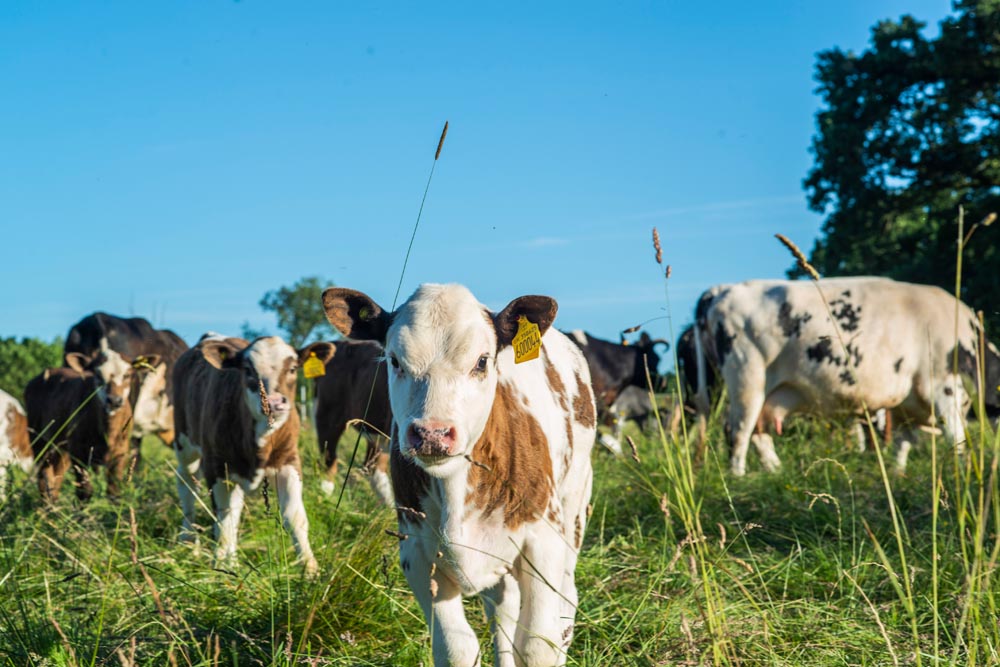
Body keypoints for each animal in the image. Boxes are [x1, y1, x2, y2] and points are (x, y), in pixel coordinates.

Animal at [25, 348, 155, 501]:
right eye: (98, 375)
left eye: (127, 375)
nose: (114, 401)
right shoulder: (78, 450)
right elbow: (85, 491)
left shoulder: (121, 452)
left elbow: (114, 491)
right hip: (38, 437)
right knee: (44, 475)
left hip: (61, 446)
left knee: (56, 475)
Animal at [172, 335, 334, 575]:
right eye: (248, 370)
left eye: (293, 368)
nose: (273, 402)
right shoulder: (217, 467)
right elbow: (223, 519)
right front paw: (221, 567)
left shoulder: (289, 462)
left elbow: (294, 517)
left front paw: (310, 569)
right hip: (185, 444)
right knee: (188, 486)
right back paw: (188, 540)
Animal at [323, 283, 596, 667]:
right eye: (394, 360)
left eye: (482, 361)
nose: (432, 434)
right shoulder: (417, 553)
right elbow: (456, 648)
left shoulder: (543, 542)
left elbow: (538, 644)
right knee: (502, 609)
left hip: (575, 504)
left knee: (565, 603)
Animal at [692, 277, 1000, 475]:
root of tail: (722, 289)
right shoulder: (944, 388)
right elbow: (956, 438)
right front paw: (961, 471)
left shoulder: (906, 404)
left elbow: (902, 444)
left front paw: (897, 473)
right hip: (747, 378)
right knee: (738, 430)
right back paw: (739, 476)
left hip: (765, 392)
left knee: (758, 433)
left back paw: (775, 471)